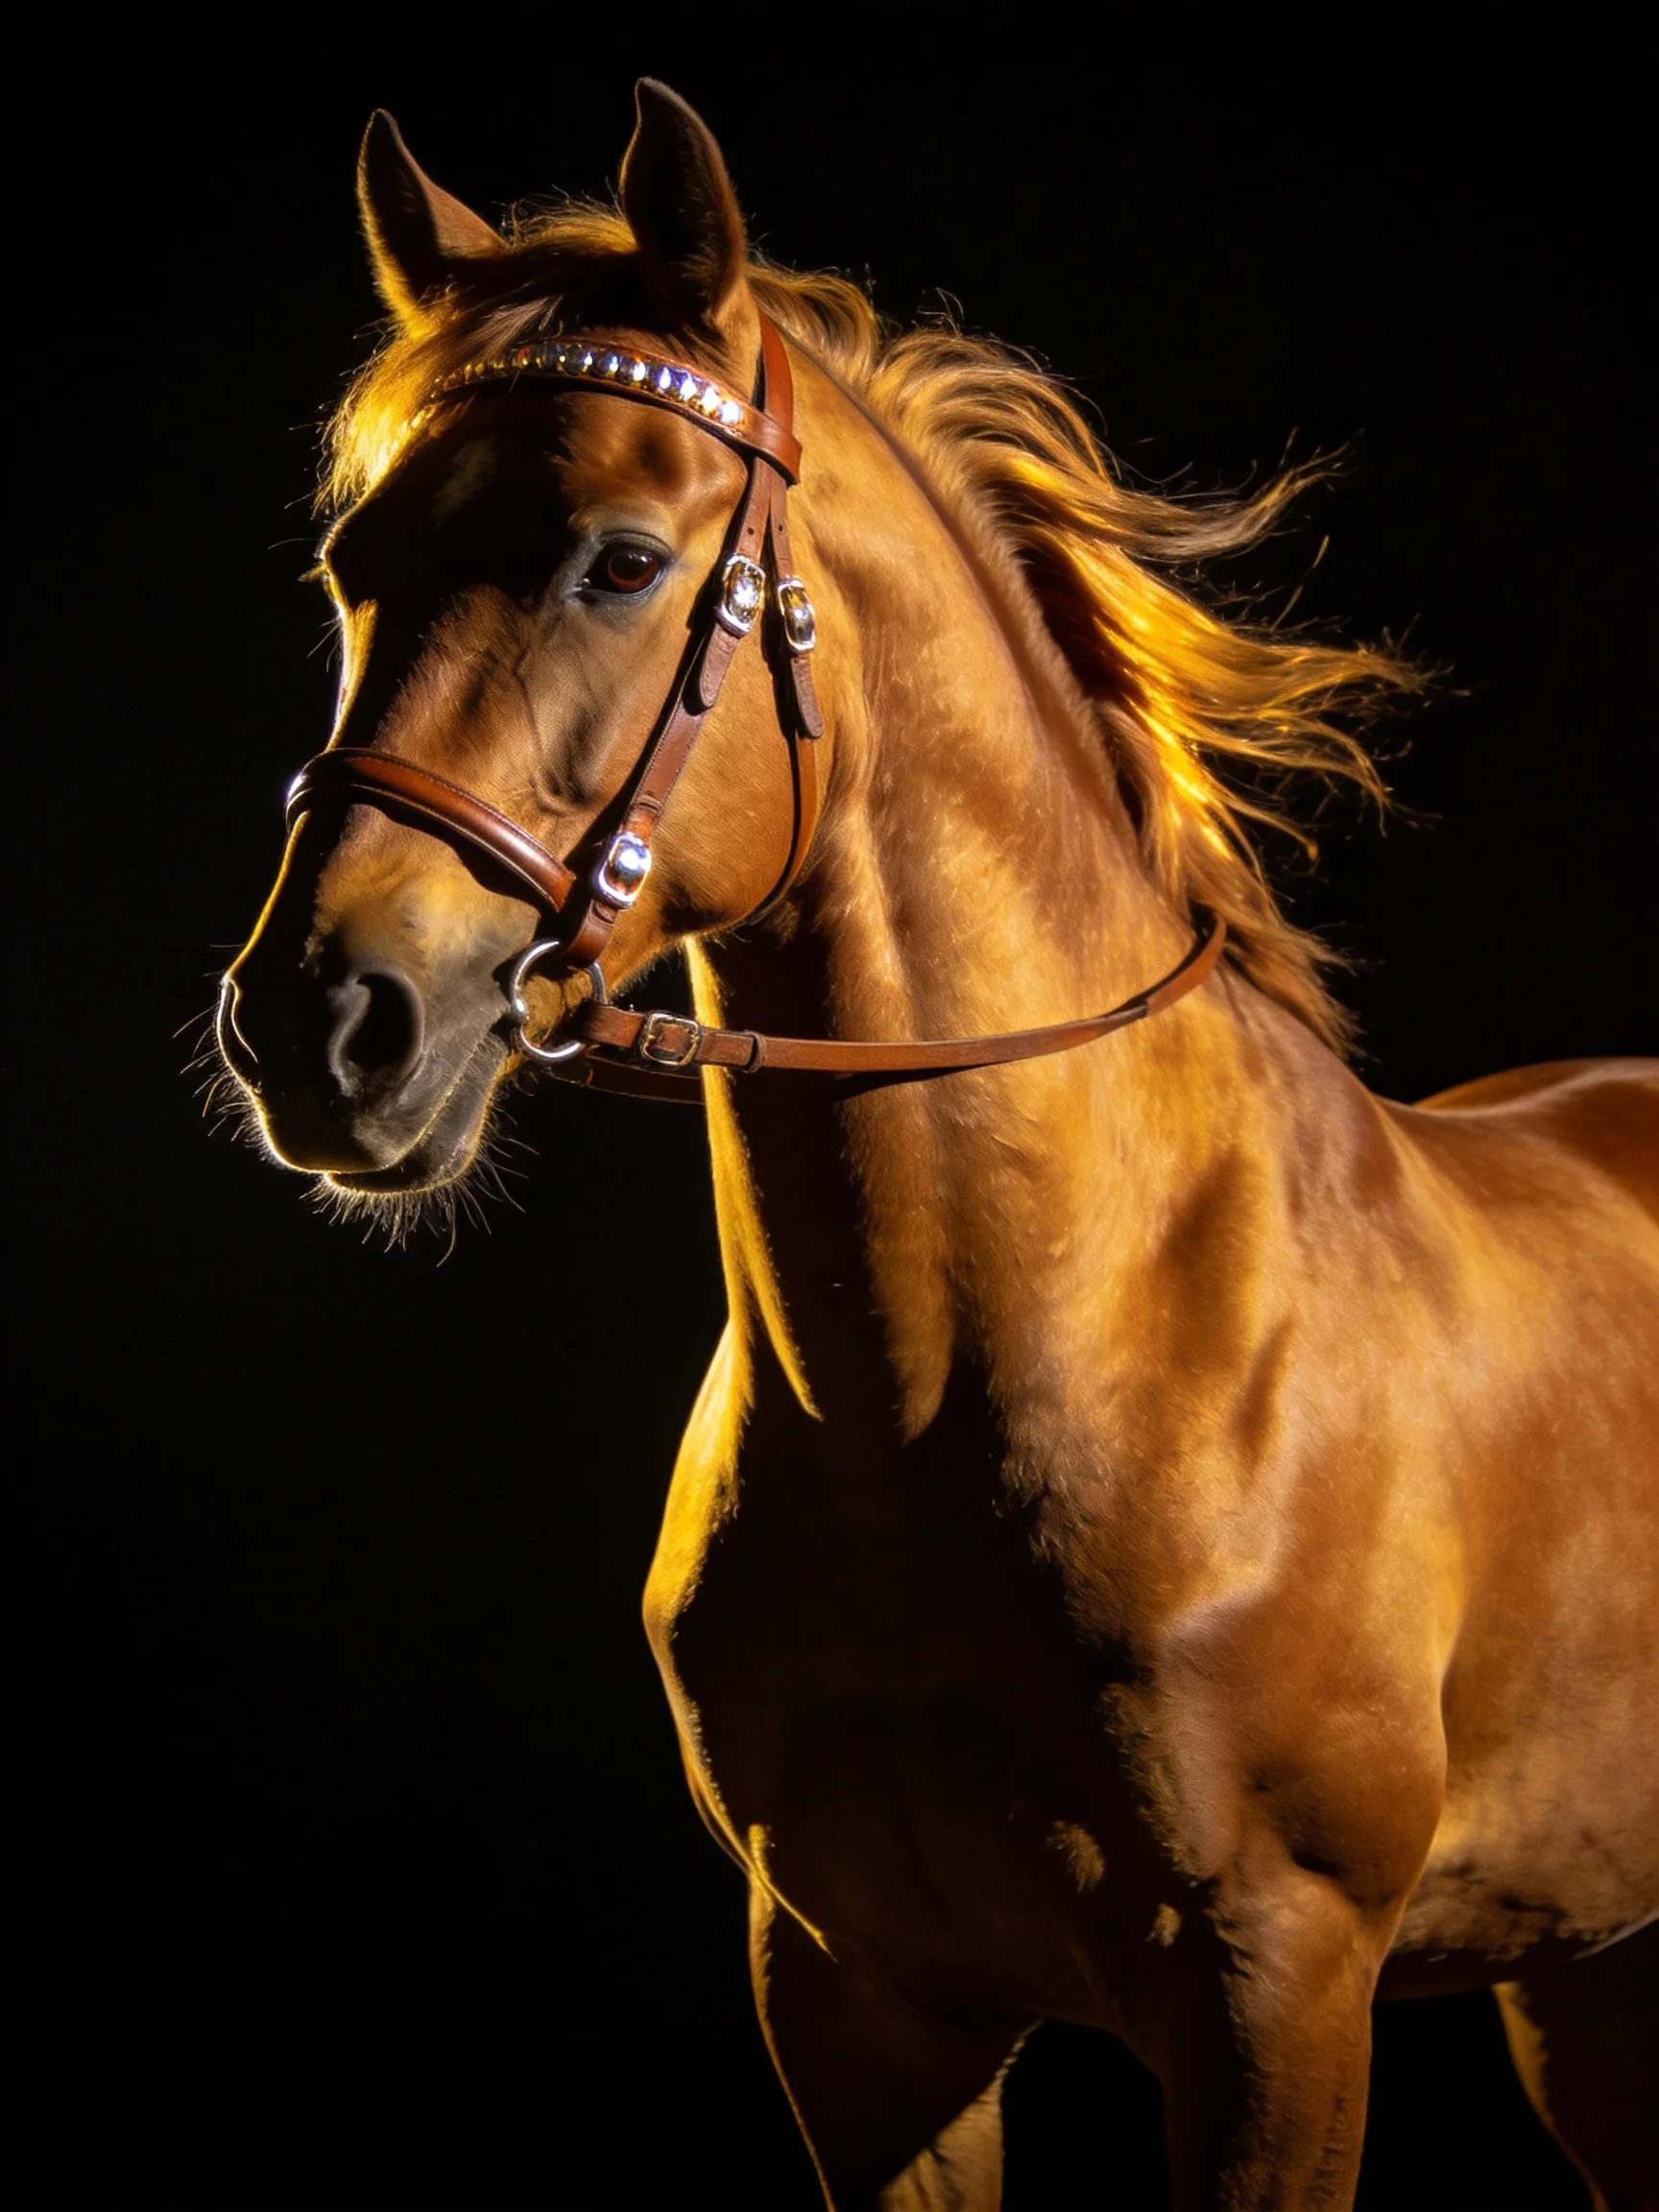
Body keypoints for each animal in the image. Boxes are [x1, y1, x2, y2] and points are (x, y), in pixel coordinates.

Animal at [215, 83, 1659, 2212]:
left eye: (619, 560)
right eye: (352, 561)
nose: (321, 1024)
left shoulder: (1278, 1994)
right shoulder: (859, 2006)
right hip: (1590, 1981)